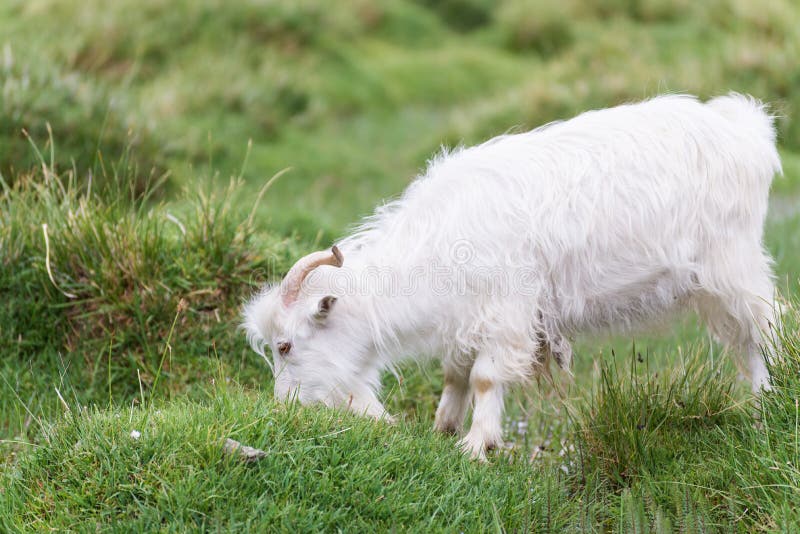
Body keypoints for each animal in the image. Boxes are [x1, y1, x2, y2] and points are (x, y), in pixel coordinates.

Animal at [242, 95, 780, 460]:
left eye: (285, 345)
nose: (285, 410)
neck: (438, 245)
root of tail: (747, 130)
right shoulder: (466, 315)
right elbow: (455, 372)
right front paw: (443, 428)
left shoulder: (506, 312)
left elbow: (484, 377)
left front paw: (476, 445)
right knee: (742, 338)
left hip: (733, 263)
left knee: (766, 326)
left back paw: (767, 408)